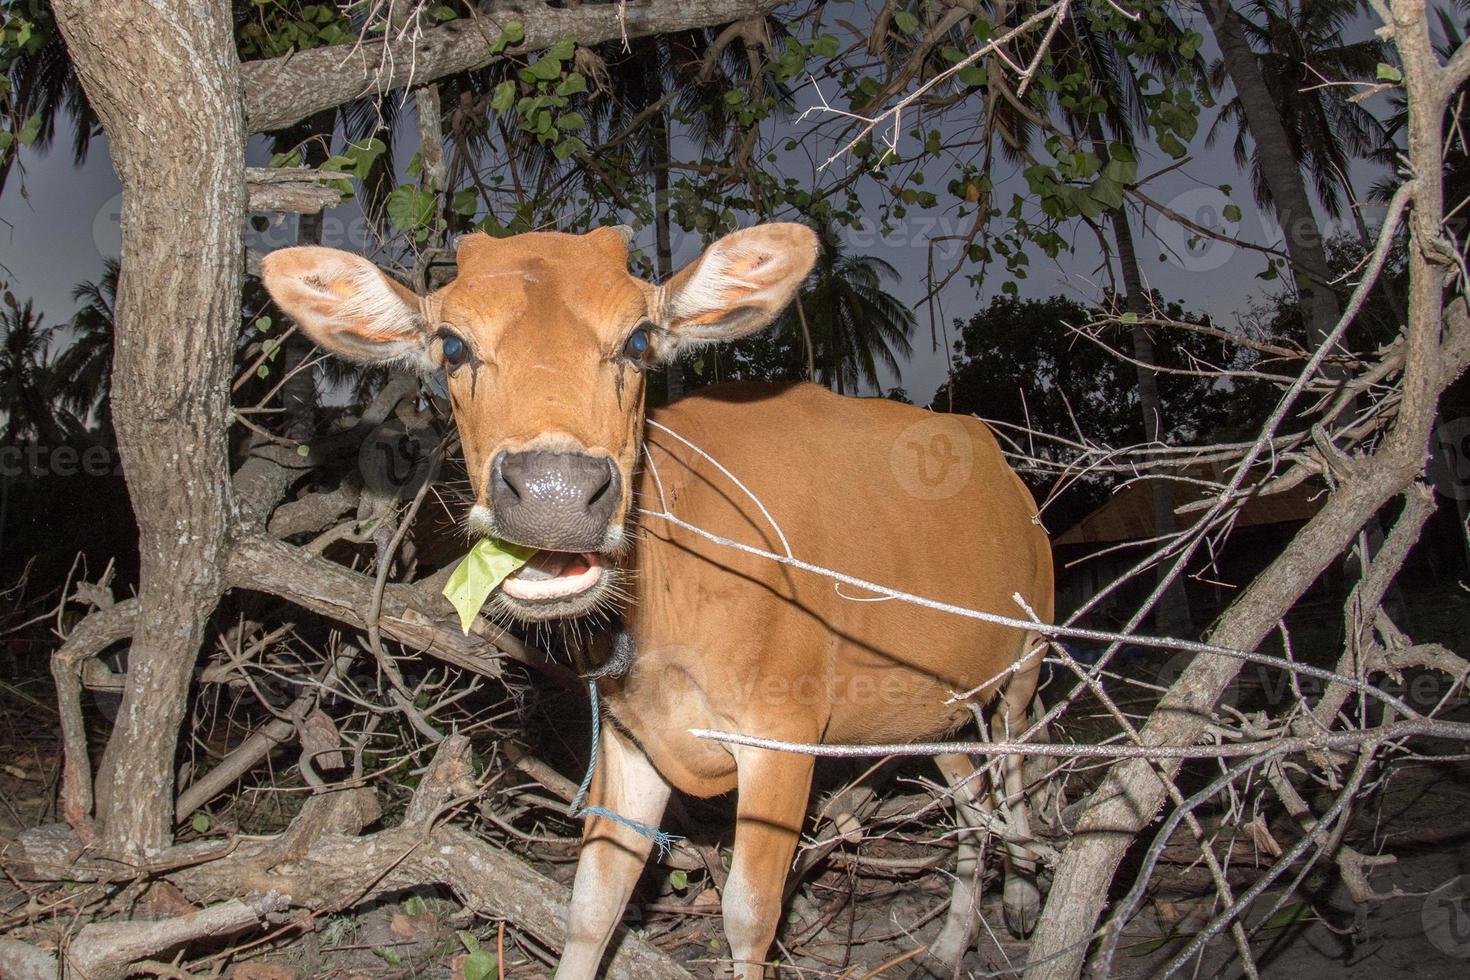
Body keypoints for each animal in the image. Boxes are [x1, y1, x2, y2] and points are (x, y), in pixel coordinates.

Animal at [261, 226, 1046, 975]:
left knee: (1015, 782)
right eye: (452, 345)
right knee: (970, 798)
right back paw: (949, 943)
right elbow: (591, 906)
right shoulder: (629, 740)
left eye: (639, 340)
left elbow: (749, 915)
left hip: (1028, 664)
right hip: (936, 707)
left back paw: (1024, 897)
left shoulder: (783, 734)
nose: (553, 494)